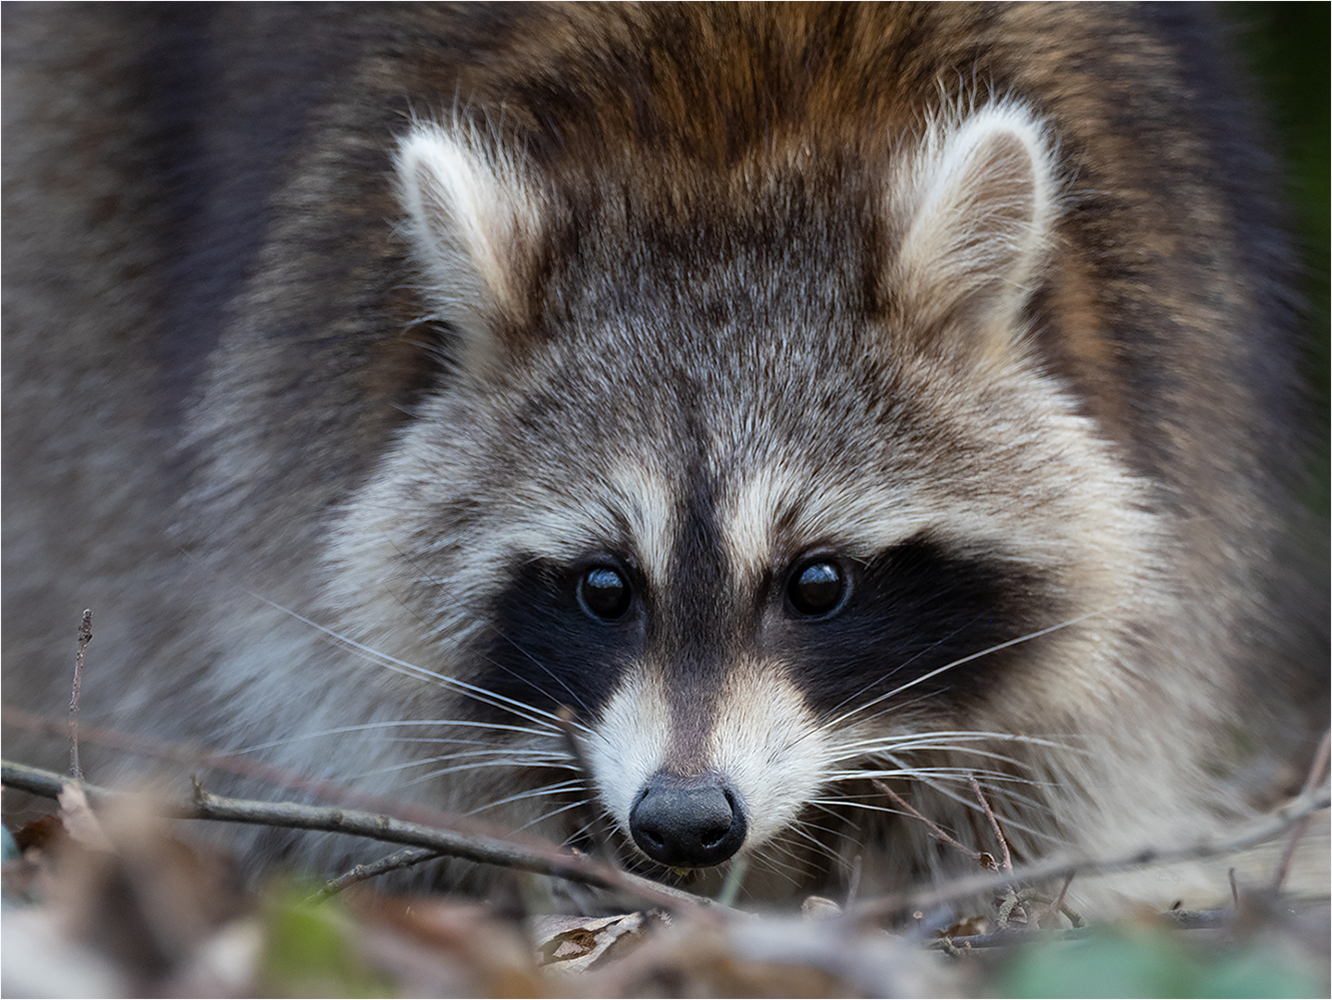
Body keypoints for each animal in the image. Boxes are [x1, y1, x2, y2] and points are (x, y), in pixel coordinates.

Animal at [5, 1, 1326, 905]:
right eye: (603, 585)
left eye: (819, 581)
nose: (685, 821)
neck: (729, 131)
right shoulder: (292, 413)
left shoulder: (1179, 371)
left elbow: (1061, 743)